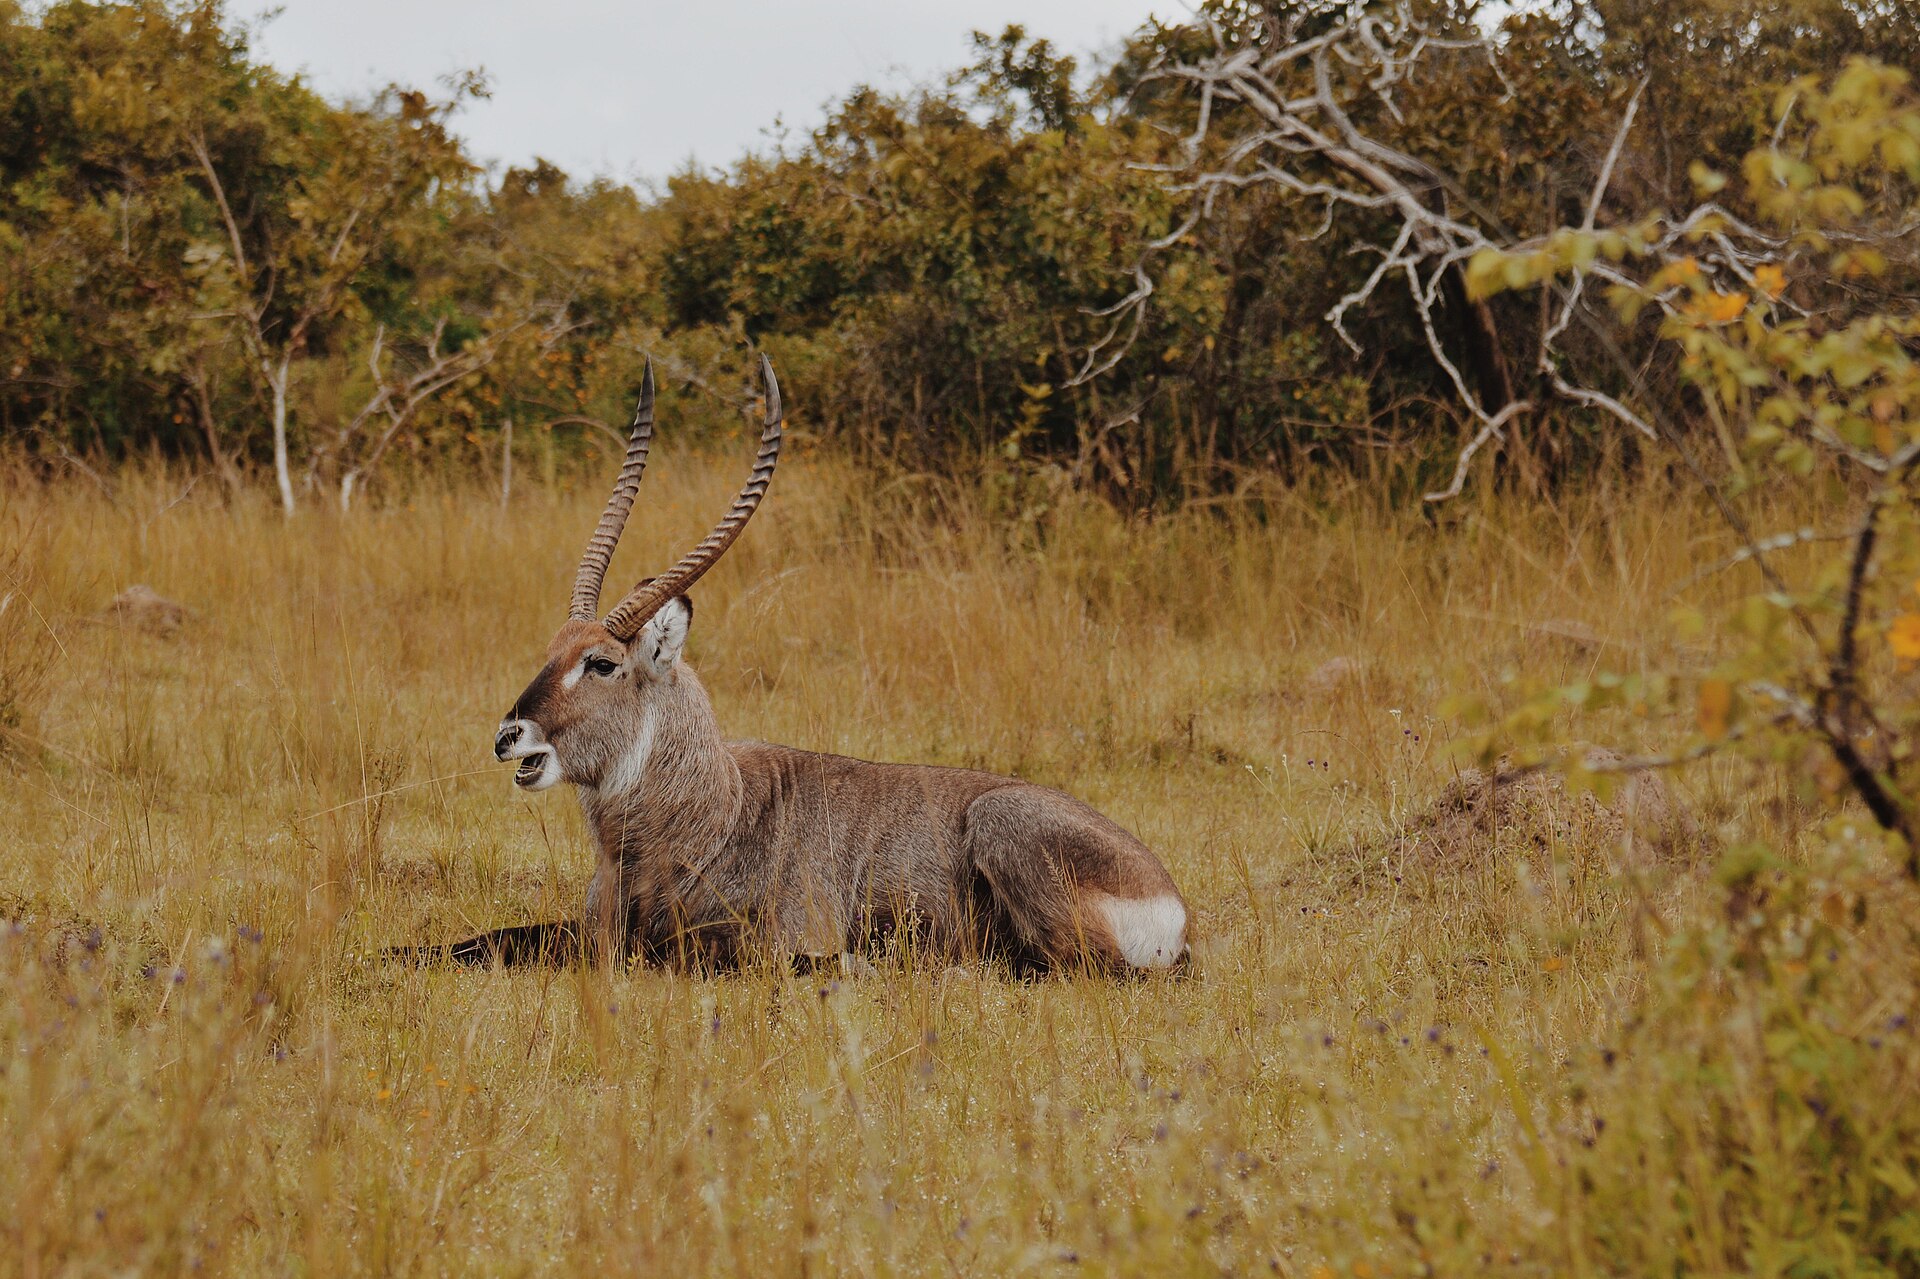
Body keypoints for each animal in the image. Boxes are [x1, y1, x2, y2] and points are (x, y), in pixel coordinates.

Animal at [422, 358, 1189, 974]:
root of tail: (1169, 900)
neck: (715, 804)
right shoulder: (586, 931)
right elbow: (477, 941)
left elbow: (699, 953)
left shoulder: (759, 938)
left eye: (603, 663)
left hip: (1006, 830)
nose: (509, 736)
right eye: (551, 649)